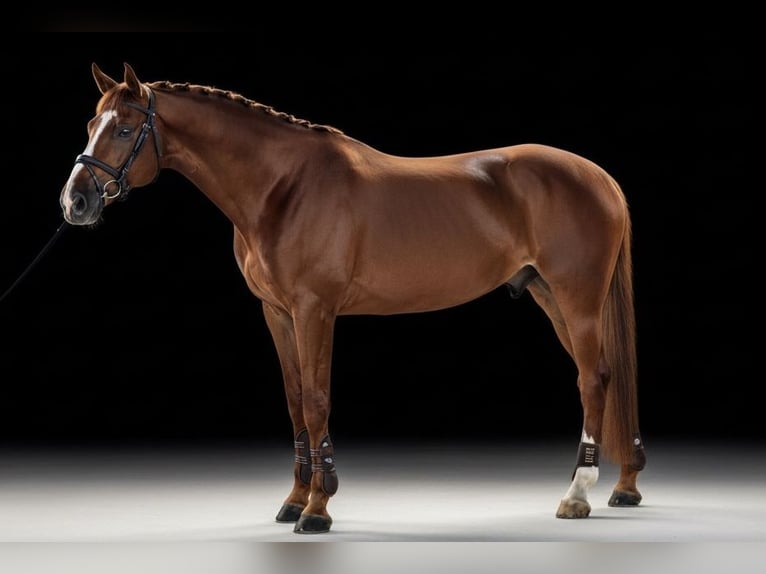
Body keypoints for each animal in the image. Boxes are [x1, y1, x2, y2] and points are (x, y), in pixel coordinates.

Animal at [59, 62, 646, 534]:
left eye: (126, 128)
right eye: (91, 125)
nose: (75, 202)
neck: (283, 188)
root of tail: (600, 176)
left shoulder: (315, 309)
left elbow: (317, 401)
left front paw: (319, 508)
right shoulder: (277, 313)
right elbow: (295, 399)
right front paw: (294, 500)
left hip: (576, 299)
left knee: (592, 380)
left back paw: (577, 495)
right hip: (551, 298)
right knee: (609, 375)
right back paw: (624, 487)